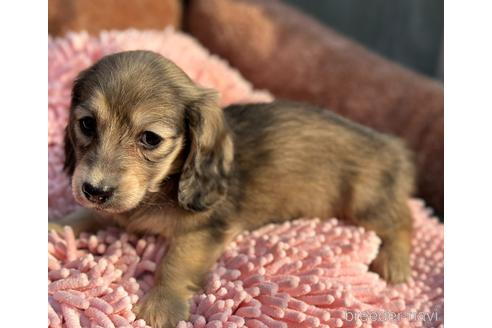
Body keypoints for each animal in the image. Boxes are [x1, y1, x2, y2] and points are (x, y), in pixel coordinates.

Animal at [51, 50, 416, 326]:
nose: (95, 189)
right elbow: (84, 216)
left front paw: (161, 304)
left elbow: (174, 262)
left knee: (403, 221)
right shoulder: (113, 210)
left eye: (150, 138)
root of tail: (392, 146)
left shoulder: (205, 230)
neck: (158, 191)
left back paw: (394, 262)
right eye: (87, 124)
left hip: (365, 202)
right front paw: (56, 227)